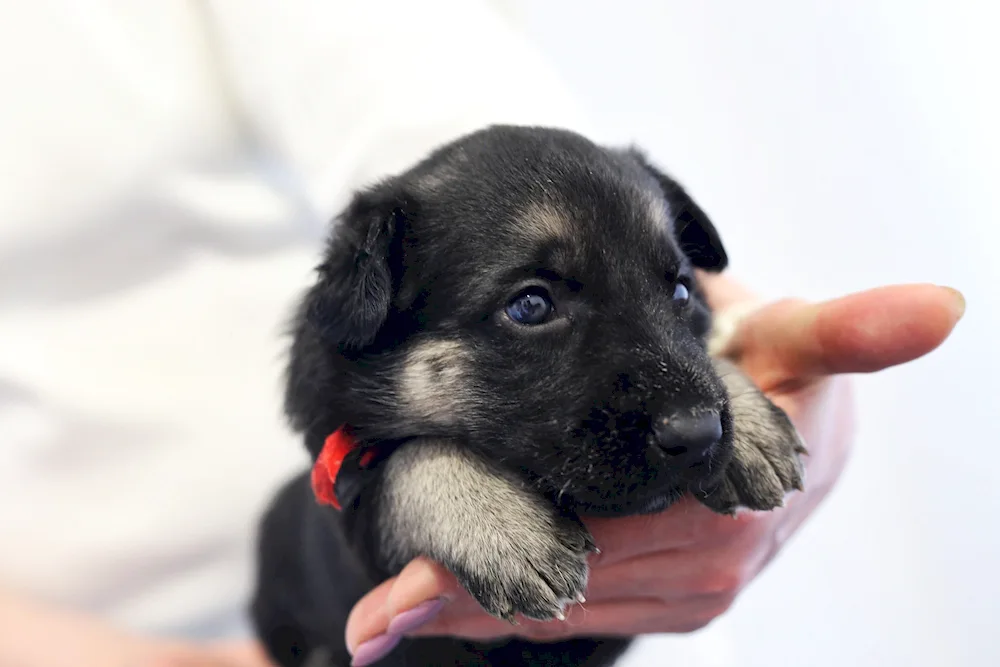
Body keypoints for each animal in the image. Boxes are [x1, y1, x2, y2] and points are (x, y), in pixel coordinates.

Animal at [250, 125, 804, 667]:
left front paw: (751, 424)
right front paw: (499, 523)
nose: (700, 434)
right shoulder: (353, 510)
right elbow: (412, 456)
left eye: (683, 292)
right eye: (531, 306)